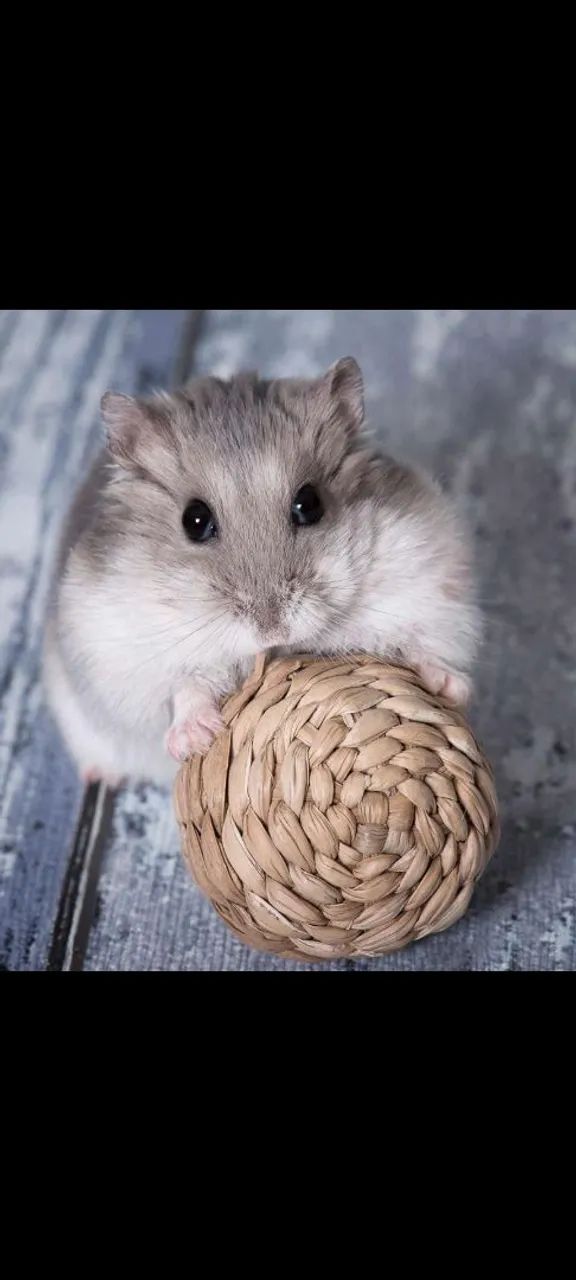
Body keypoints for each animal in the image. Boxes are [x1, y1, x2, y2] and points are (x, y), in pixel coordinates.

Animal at [43, 358, 481, 787]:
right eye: (194, 520)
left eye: (310, 503)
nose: (273, 631)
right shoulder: (124, 656)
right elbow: (185, 686)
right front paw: (197, 737)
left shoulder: (429, 585)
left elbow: (420, 645)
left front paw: (449, 686)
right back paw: (99, 775)